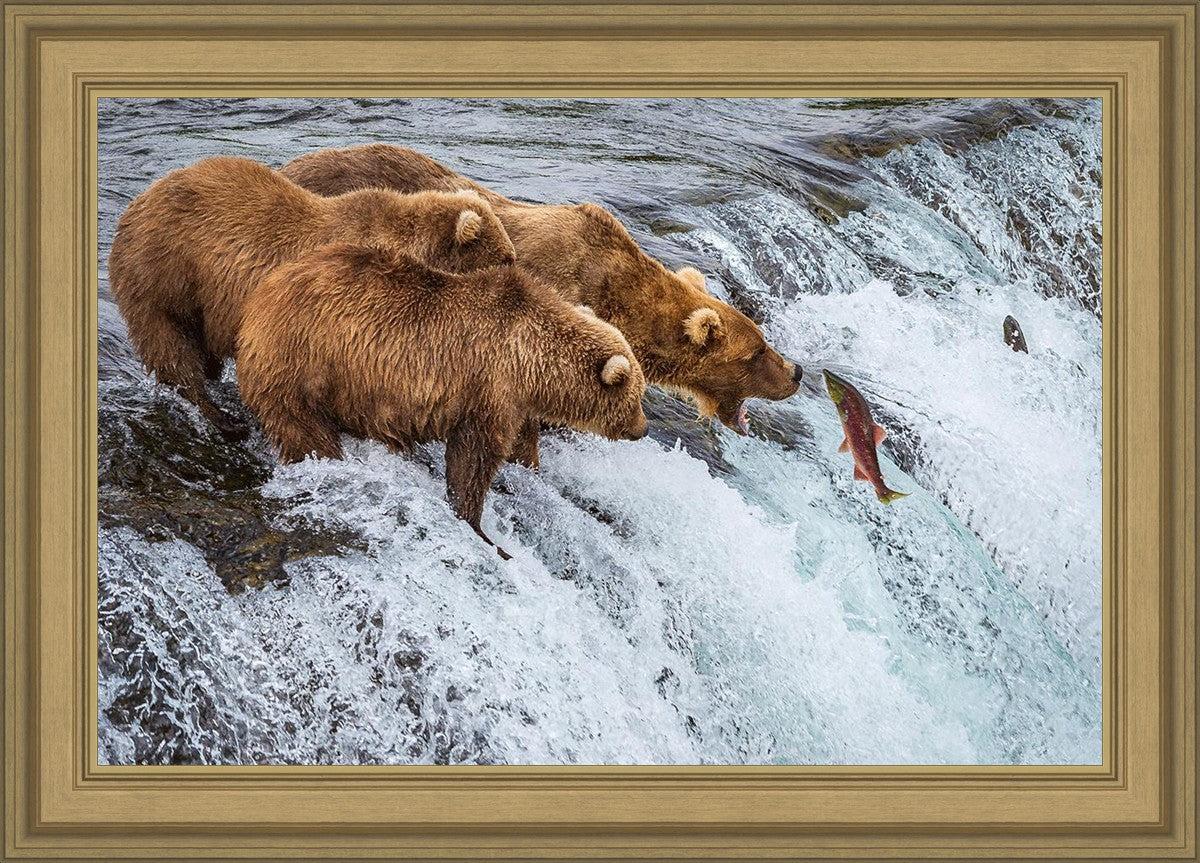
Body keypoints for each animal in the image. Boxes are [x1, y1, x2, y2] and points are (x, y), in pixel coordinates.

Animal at [108, 155, 516, 440]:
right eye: (506, 257)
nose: (518, 274)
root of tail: (136, 203)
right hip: (165, 274)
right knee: (171, 347)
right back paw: (222, 418)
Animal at [236, 241, 648, 559]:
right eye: (636, 397)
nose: (643, 429)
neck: (531, 360)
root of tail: (259, 298)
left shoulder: (515, 401)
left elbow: (519, 445)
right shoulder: (488, 386)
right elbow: (473, 458)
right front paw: (482, 530)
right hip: (303, 363)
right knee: (304, 429)